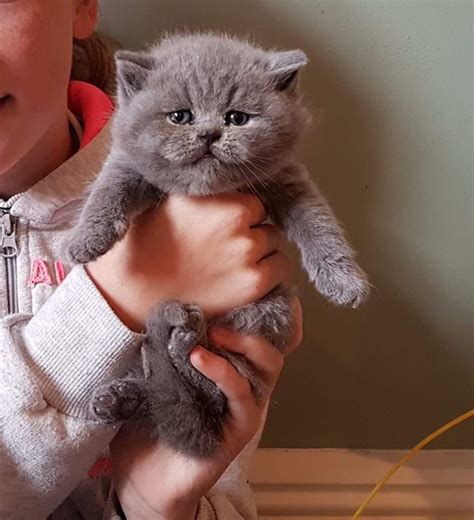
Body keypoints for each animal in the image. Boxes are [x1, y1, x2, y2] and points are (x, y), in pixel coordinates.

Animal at [67, 32, 370, 458]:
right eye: (180, 117)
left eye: (237, 118)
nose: (209, 134)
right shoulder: (127, 165)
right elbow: (107, 190)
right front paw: (85, 241)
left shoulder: (289, 182)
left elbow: (320, 225)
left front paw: (344, 282)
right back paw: (120, 397)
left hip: (267, 315)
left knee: (210, 389)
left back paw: (175, 354)